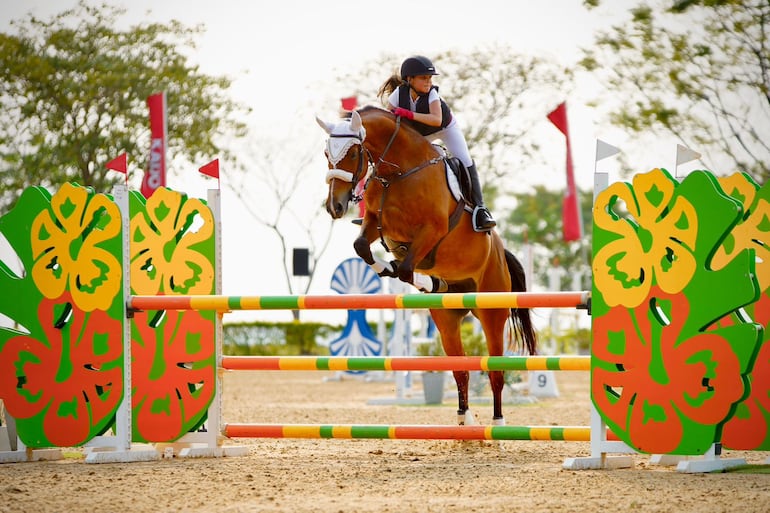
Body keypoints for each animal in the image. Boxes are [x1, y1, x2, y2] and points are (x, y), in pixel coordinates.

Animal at [316, 106, 536, 426]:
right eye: (326, 153)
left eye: (354, 152)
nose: (335, 207)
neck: (397, 174)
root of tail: (500, 252)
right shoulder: (376, 222)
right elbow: (363, 248)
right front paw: (388, 268)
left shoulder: (432, 229)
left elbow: (406, 268)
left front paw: (404, 272)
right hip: (447, 321)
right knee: (460, 370)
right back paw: (465, 420)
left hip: (492, 312)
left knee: (495, 371)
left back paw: (497, 424)